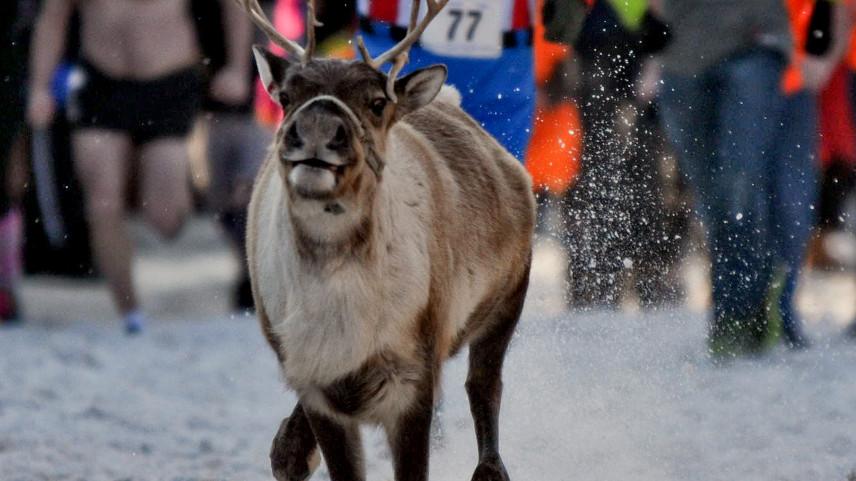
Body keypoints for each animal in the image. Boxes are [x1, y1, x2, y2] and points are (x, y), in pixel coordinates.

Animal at [241, 0, 535, 480]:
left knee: (484, 386)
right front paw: (295, 448)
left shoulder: (414, 375)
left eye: (377, 102)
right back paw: (290, 448)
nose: (318, 127)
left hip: (507, 297)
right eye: (285, 97)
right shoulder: (313, 377)